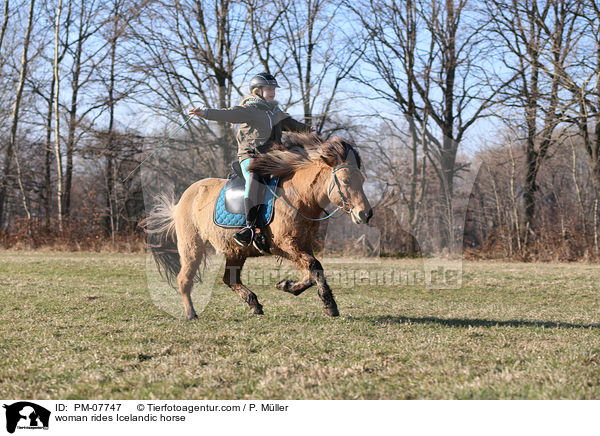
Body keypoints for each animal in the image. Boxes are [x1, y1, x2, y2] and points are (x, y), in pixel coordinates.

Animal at [143, 131, 372, 318]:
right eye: (345, 181)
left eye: (361, 180)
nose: (365, 214)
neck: (299, 196)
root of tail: (183, 199)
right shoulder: (284, 244)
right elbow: (315, 267)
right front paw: (330, 305)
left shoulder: (303, 245)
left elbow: (310, 272)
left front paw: (288, 286)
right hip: (192, 246)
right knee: (184, 279)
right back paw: (191, 314)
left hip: (236, 251)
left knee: (230, 279)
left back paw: (254, 304)